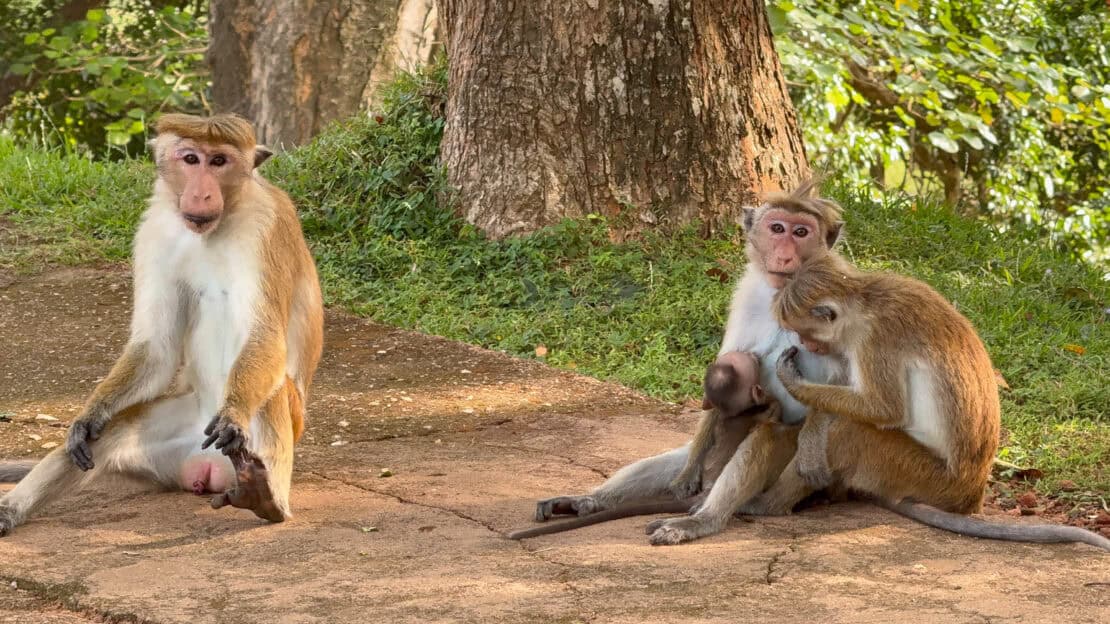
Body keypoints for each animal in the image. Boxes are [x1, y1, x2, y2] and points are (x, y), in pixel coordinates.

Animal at [0, 113, 324, 536]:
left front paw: (234, 412)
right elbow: (156, 346)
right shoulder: (155, 230)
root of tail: (209, 471)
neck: (217, 226)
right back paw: (12, 508)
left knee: (274, 387)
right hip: (179, 437)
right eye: (190, 158)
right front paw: (90, 415)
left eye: (219, 161)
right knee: (112, 432)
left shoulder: (268, 227)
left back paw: (266, 496)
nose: (201, 194)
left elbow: (264, 335)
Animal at [515, 178, 850, 544]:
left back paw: (703, 519)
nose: (785, 254)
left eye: (801, 232)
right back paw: (589, 500)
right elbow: (720, 374)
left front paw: (812, 441)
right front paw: (686, 472)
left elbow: (852, 386)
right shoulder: (747, 295)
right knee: (674, 460)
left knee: (769, 437)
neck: (783, 290)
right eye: (778, 228)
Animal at [759, 252, 1110, 551]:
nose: (807, 346)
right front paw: (812, 426)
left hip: (923, 476)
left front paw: (794, 385)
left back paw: (765, 505)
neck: (864, 302)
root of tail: (971, 495)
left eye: (806, 334)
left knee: (850, 430)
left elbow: (883, 409)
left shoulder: (875, 338)